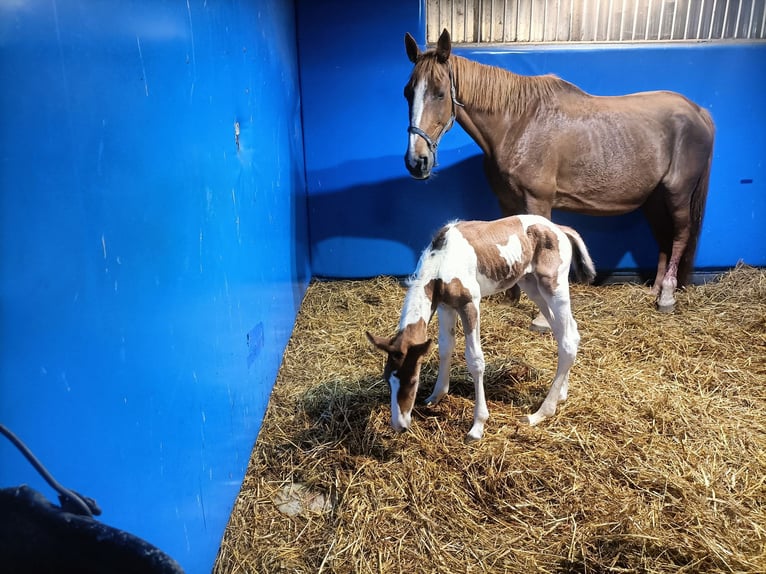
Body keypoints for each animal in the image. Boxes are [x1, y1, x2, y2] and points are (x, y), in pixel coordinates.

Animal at [367, 214, 595, 442]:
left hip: (553, 285)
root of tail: (558, 228)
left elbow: (475, 360)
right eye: (387, 379)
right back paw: (562, 395)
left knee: (567, 341)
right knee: (567, 333)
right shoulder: (445, 306)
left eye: (413, 380)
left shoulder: (470, 304)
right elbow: (445, 347)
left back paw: (539, 414)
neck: (442, 261)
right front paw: (436, 395)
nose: (399, 425)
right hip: (531, 285)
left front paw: (478, 425)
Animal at [402, 29, 715, 319]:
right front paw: (512, 298)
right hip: (654, 200)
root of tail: (698, 111)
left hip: (677, 193)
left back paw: (667, 296)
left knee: (680, 235)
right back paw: (655, 290)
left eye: (440, 92)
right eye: (408, 92)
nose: (416, 161)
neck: (518, 123)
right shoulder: (506, 201)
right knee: (664, 238)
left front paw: (542, 315)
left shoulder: (538, 201)